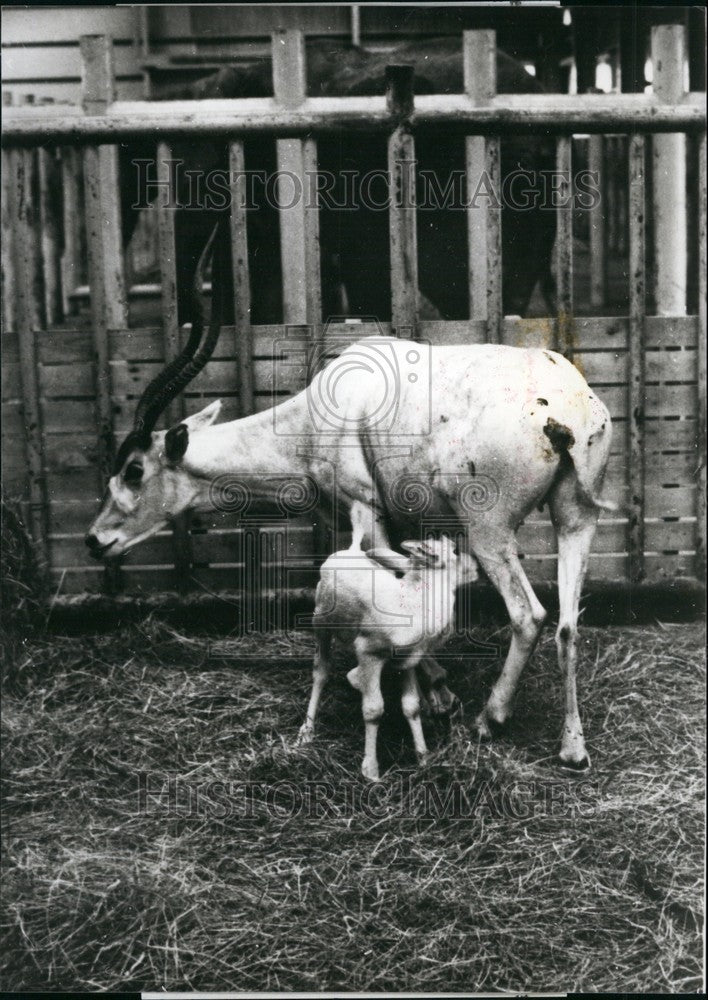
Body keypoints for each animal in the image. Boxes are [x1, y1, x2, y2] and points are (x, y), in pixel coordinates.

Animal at [298, 508, 482, 780]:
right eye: (455, 550)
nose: (478, 565)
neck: (413, 603)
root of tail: (350, 549)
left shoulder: (407, 660)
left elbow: (411, 706)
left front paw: (424, 757)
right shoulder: (369, 652)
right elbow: (374, 709)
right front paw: (371, 770)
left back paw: (354, 681)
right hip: (319, 621)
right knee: (321, 671)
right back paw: (306, 731)